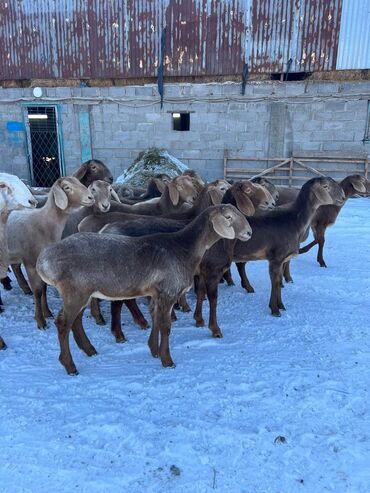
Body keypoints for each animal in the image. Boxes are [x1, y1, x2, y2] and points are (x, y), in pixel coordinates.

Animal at [6, 175, 94, 328]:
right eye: (66, 187)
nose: (91, 197)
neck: (44, 224)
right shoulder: (30, 262)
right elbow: (38, 291)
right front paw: (40, 321)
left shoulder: (42, 262)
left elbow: (44, 288)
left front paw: (47, 312)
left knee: (15, 266)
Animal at [36, 204, 251, 372]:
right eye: (229, 217)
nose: (248, 232)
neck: (185, 248)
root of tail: (44, 261)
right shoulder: (168, 292)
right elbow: (165, 326)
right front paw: (167, 361)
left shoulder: (157, 293)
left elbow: (155, 317)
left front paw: (154, 350)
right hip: (74, 291)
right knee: (63, 323)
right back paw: (70, 365)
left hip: (81, 292)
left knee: (76, 321)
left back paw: (90, 350)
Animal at [234, 177, 344, 316]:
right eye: (325, 186)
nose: (343, 197)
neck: (295, 220)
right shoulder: (276, 258)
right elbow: (275, 282)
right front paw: (275, 310)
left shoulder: (282, 259)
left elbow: (279, 281)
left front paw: (281, 305)